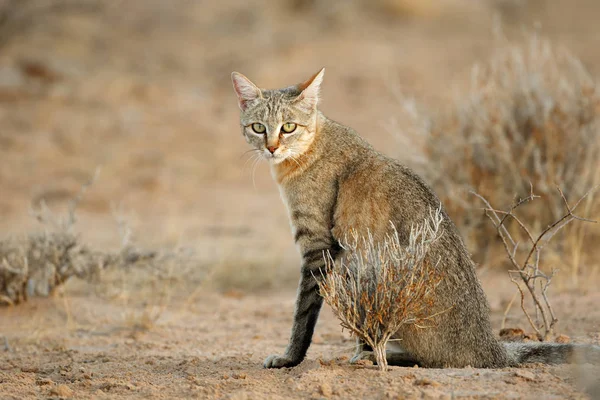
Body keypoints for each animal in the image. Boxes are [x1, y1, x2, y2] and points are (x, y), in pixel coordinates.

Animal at [231, 69, 600, 368]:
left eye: (289, 127)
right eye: (258, 128)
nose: (272, 148)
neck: (310, 147)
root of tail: (491, 346)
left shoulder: (317, 247)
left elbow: (303, 314)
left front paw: (289, 358)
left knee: (430, 359)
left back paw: (376, 357)